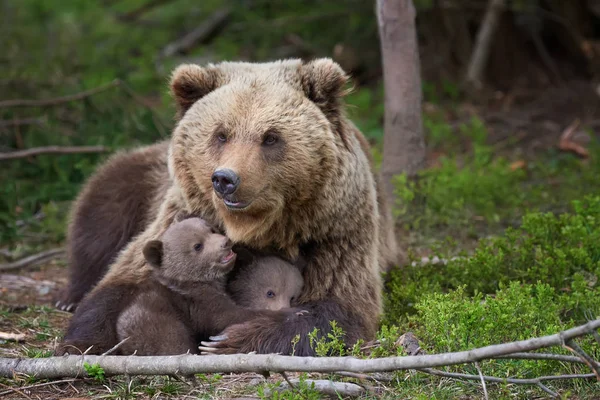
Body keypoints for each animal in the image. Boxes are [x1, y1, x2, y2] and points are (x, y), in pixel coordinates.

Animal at [57, 57, 398, 354]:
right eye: (221, 134)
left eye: (271, 137)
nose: (225, 179)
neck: (258, 226)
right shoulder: (182, 213)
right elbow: (120, 283)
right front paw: (81, 345)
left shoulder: (335, 230)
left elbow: (339, 307)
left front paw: (231, 339)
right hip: (137, 179)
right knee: (100, 219)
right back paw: (70, 296)